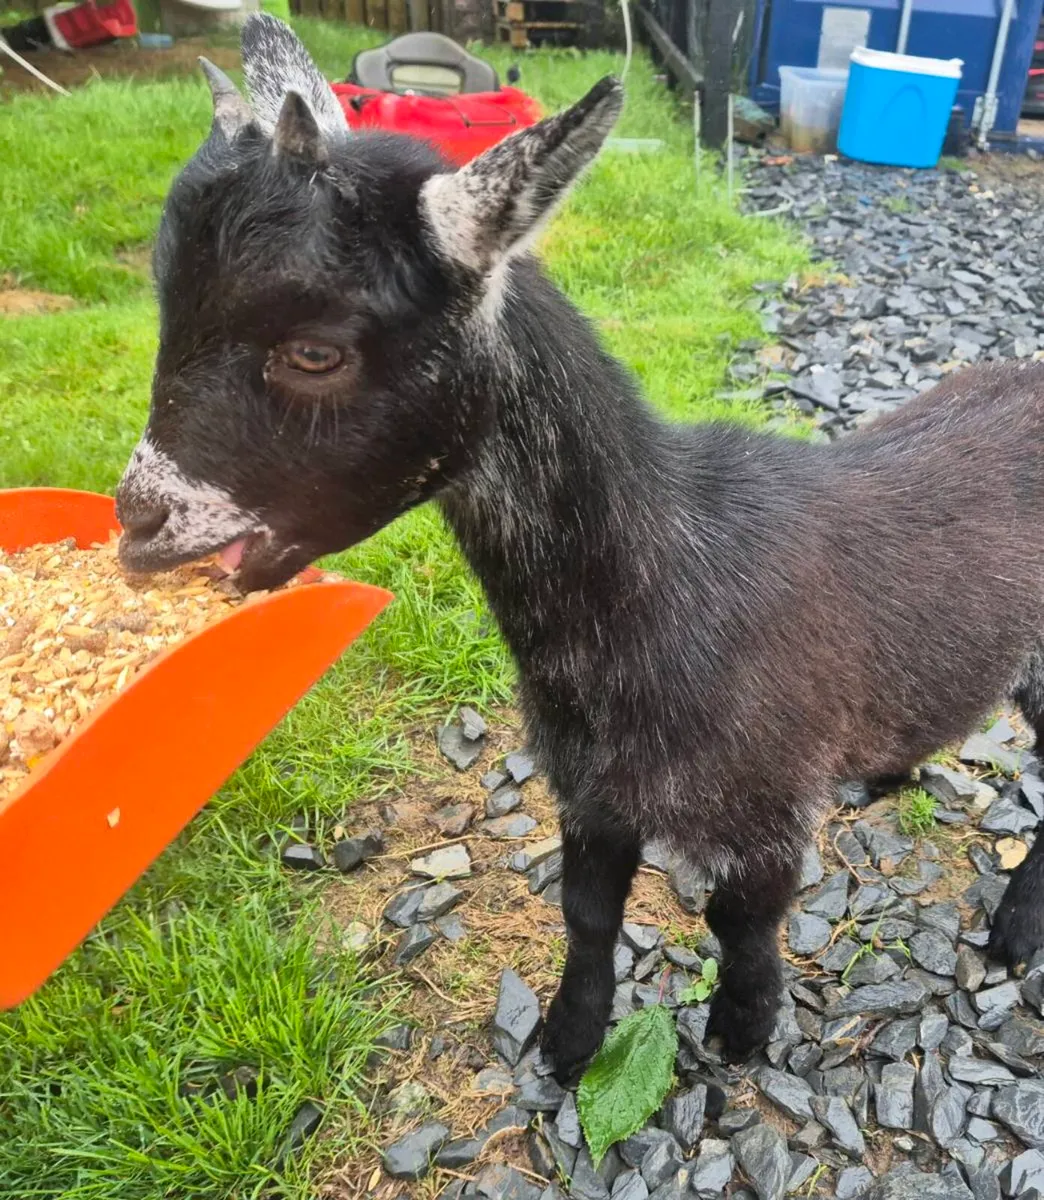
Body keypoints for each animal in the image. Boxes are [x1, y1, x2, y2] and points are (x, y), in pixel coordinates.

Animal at [115, 15, 1044, 1083]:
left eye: (315, 350)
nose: (136, 522)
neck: (666, 582)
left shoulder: (764, 806)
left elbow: (743, 920)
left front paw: (742, 1029)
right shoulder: (590, 791)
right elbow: (588, 913)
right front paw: (568, 1039)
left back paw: (1015, 933)